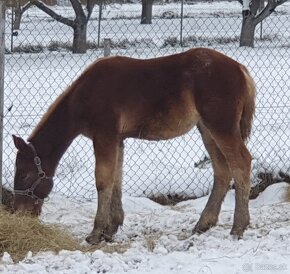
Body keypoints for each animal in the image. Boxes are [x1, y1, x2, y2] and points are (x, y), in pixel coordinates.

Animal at [11, 48, 256, 243]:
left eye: (23, 174)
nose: (19, 212)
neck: (83, 96)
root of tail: (241, 69)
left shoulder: (104, 136)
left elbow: (103, 181)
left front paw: (96, 232)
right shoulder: (118, 139)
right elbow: (116, 180)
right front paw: (111, 228)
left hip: (221, 126)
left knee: (241, 164)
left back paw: (238, 227)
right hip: (206, 129)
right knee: (222, 171)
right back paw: (203, 224)